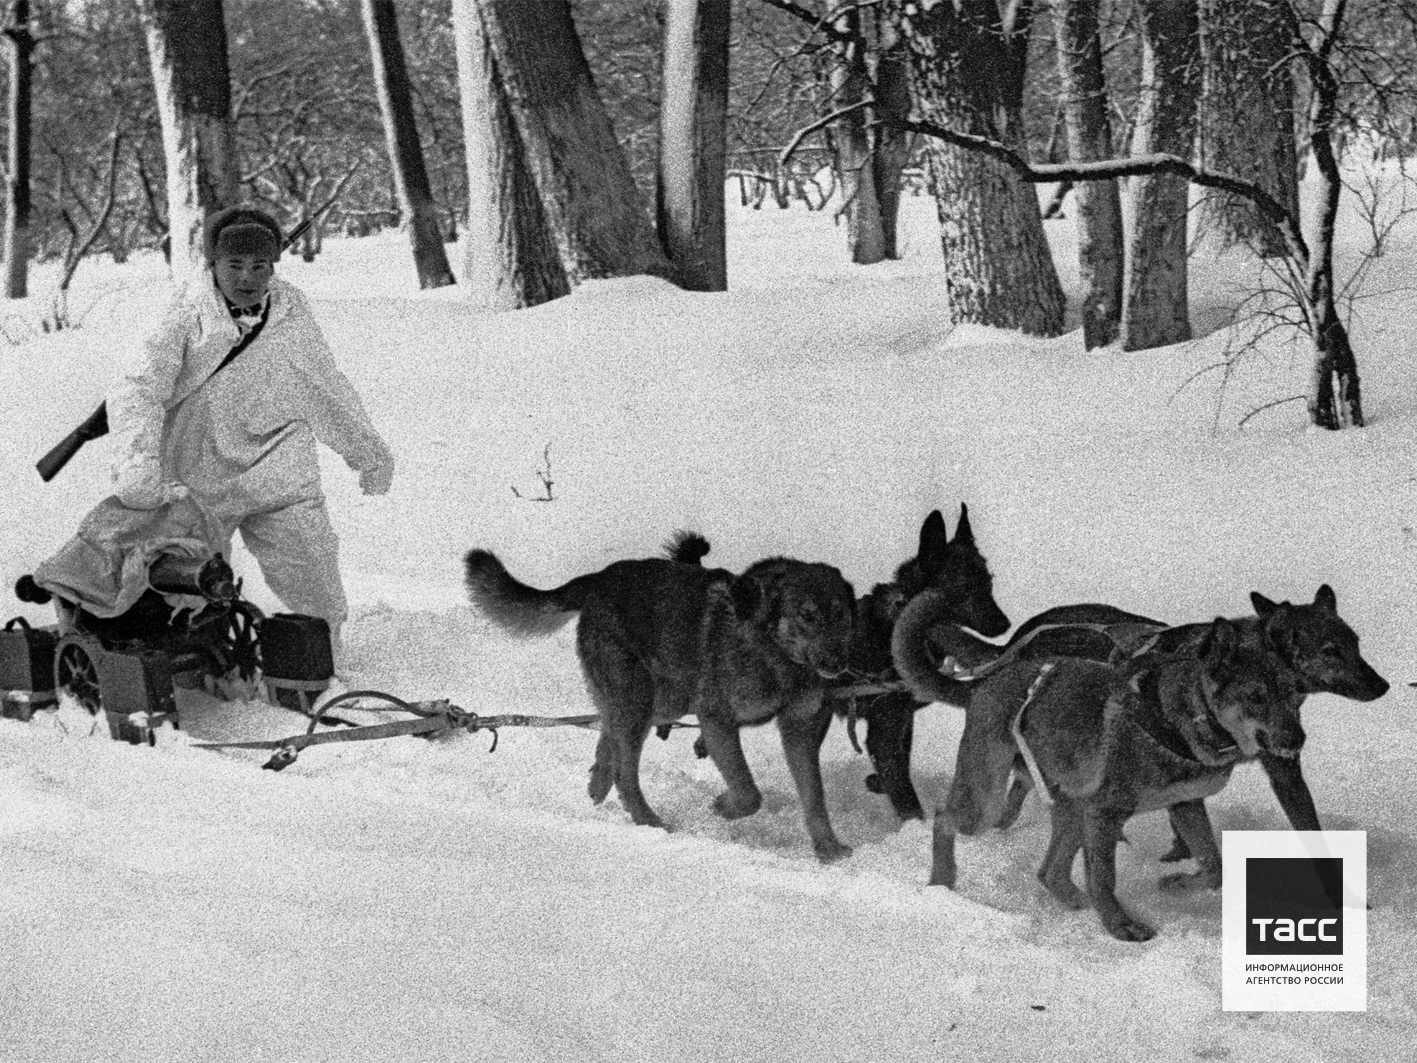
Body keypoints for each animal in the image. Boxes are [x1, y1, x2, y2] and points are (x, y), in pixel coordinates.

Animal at [470, 544, 855, 861]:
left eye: (841, 614)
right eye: (807, 615)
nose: (838, 662)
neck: (777, 655)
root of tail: (599, 579)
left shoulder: (801, 729)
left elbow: (814, 796)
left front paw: (828, 849)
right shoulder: (717, 718)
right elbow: (748, 791)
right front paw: (724, 807)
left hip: (663, 699)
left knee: (609, 733)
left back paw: (599, 783)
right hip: (640, 699)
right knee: (625, 772)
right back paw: (649, 821)